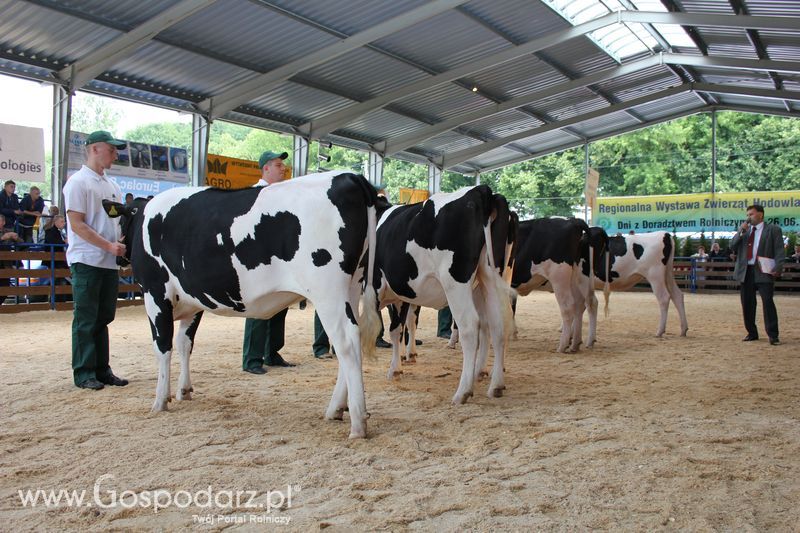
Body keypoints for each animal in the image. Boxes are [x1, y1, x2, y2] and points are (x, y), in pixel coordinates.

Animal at [104, 170, 382, 436]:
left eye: (122, 221)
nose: (118, 256)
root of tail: (349, 177)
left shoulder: (155, 293)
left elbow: (162, 347)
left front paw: (160, 400)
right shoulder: (192, 302)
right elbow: (185, 344)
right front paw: (184, 390)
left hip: (327, 290)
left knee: (346, 341)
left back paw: (358, 423)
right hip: (352, 286)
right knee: (351, 340)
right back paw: (336, 409)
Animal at [374, 185, 516, 402]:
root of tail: (480, 190)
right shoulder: (401, 293)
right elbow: (398, 328)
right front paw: (398, 367)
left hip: (456, 282)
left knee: (470, 326)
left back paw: (463, 391)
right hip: (492, 277)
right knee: (497, 323)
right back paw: (495, 384)